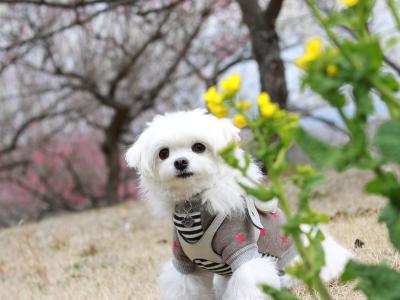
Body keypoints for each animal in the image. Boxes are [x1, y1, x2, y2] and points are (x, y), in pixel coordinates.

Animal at [126, 109, 352, 300]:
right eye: (163, 153)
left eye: (199, 147)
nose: (180, 162)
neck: (195, 204)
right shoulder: (184, 263)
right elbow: (184, 287)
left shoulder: (242, 248)